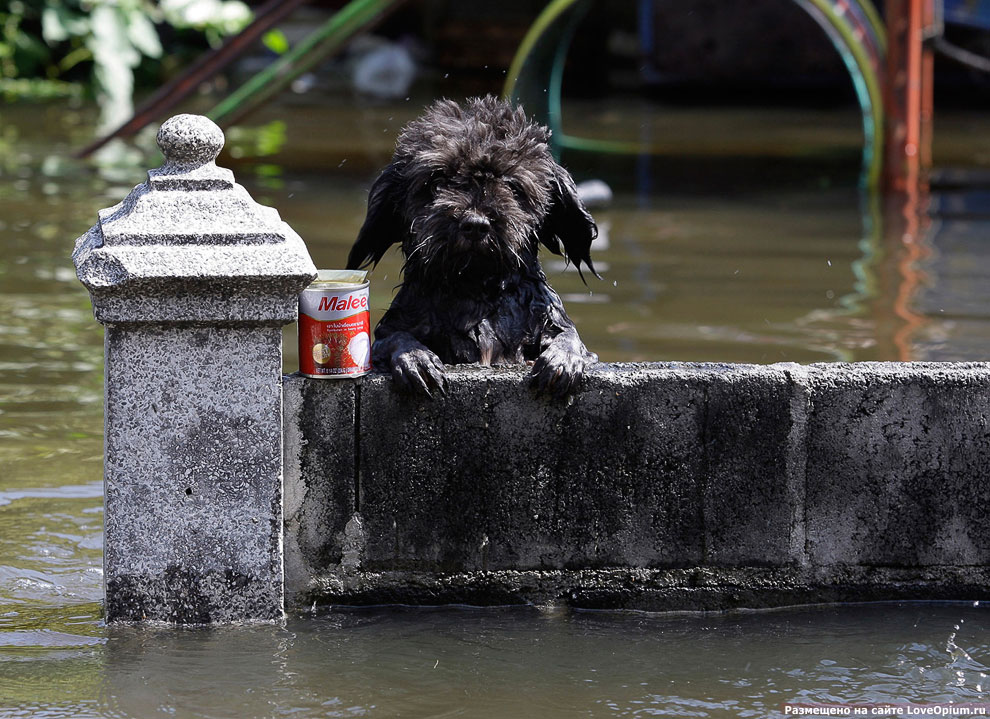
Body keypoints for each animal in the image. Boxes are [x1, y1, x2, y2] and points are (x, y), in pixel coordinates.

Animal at [344, 95, 600, 400]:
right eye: (438, 181)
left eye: (512, 186)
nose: (476, 224)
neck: (476, 289)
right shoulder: (394, 329)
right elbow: (394, 337)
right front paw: (415, 359)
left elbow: (569, 335)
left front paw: (563, 360)